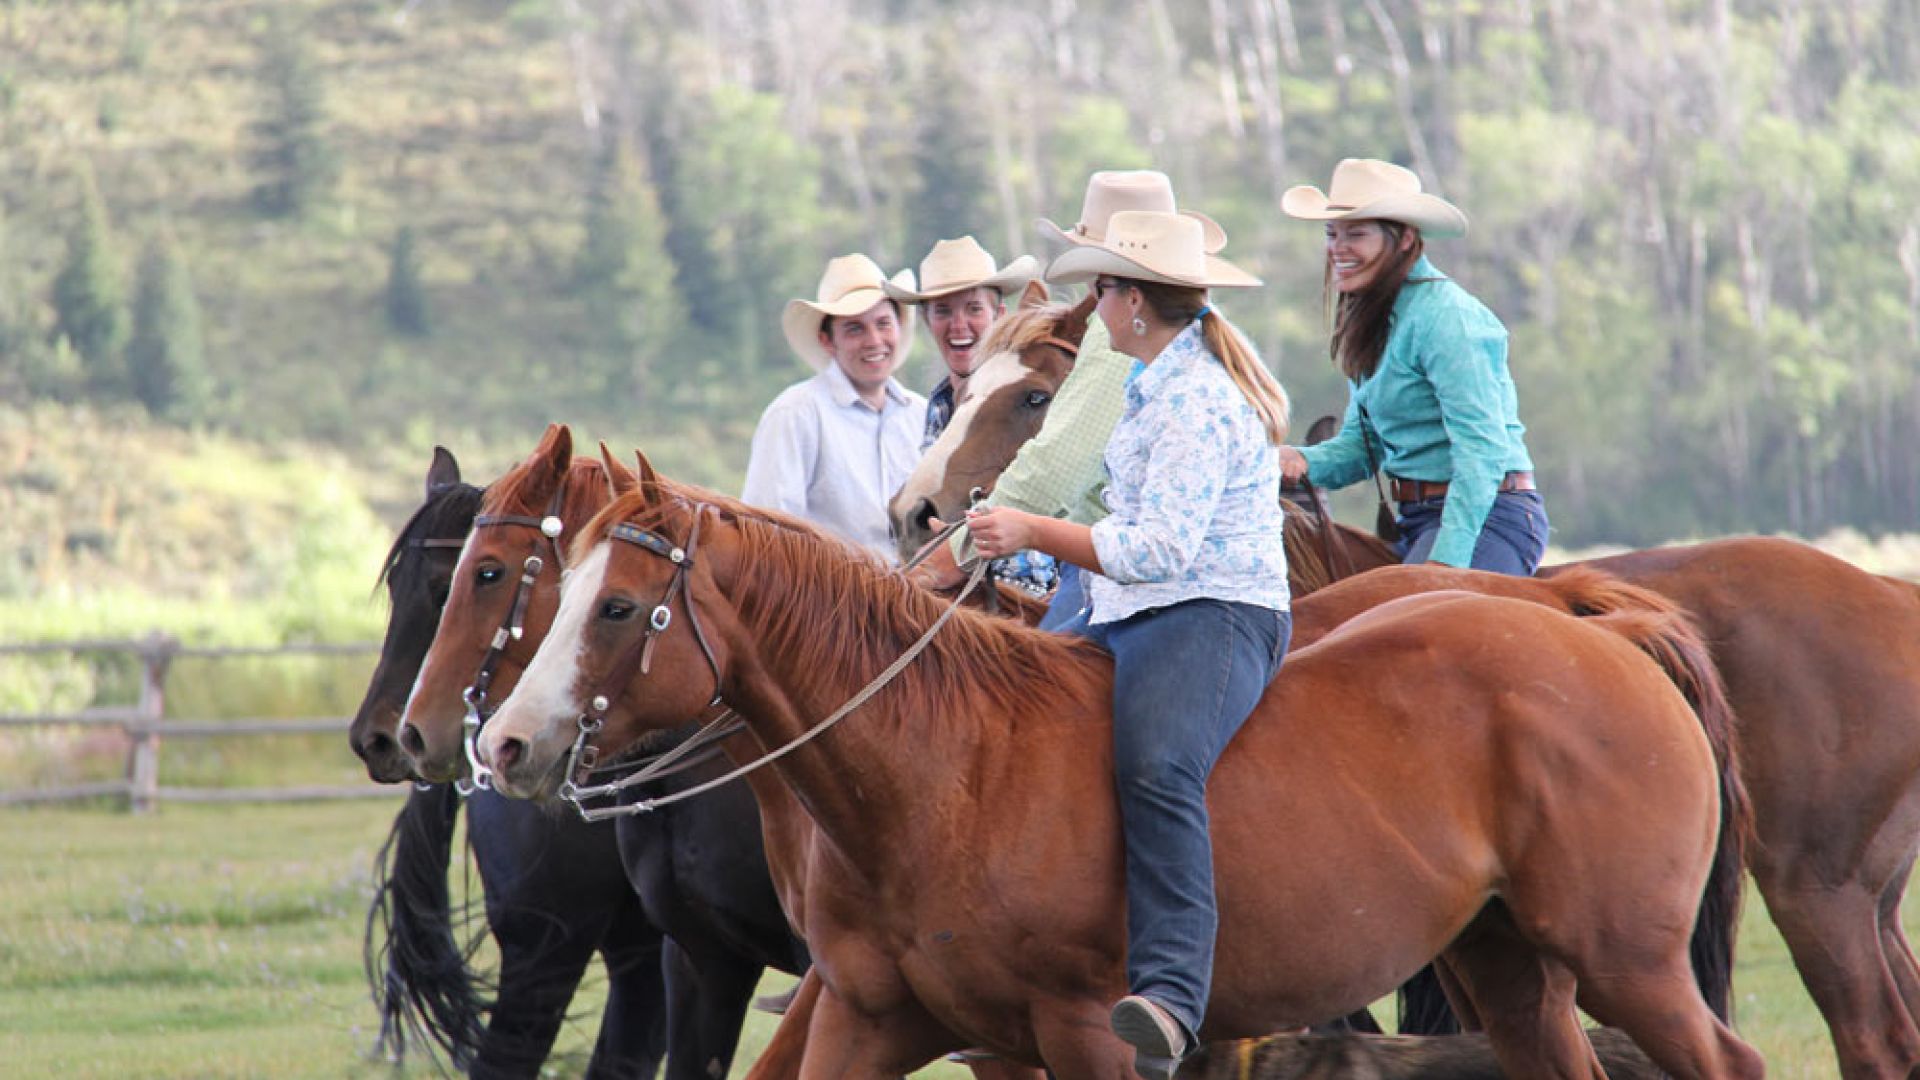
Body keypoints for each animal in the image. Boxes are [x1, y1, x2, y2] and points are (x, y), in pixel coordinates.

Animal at [476, 466, 1758, 1076]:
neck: (947, 770)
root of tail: (1597, 627)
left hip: (1629, 958)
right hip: (1511, 966)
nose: (504, 745)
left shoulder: (1088, 1036)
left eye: (622, 607)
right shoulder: (874, 1020)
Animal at [890, 295, 1920, 1076]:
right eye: (959, 389)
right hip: (1861, 900)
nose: (916, 515)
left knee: (1868, 1035)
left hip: (1813, 893)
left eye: (1032, 396)